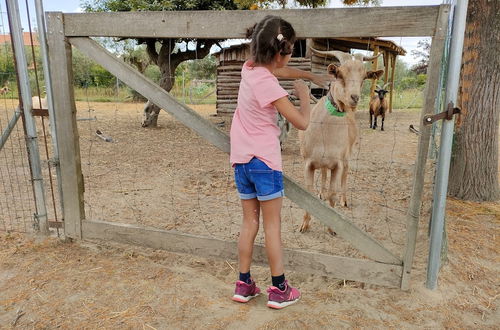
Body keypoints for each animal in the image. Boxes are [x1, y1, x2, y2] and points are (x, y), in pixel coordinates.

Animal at [298, 48, 384, 235]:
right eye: (340, 74)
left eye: (364, 76)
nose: (354, 98)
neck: (325, 133)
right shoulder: (308, 162)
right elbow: (308, 192)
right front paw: (304, 225)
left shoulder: (336, 164)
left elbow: (333, 195)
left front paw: (332, 228)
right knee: (323, 173)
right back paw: (321, 193)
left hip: (347, 155)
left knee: (346, 173)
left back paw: (344, 200)